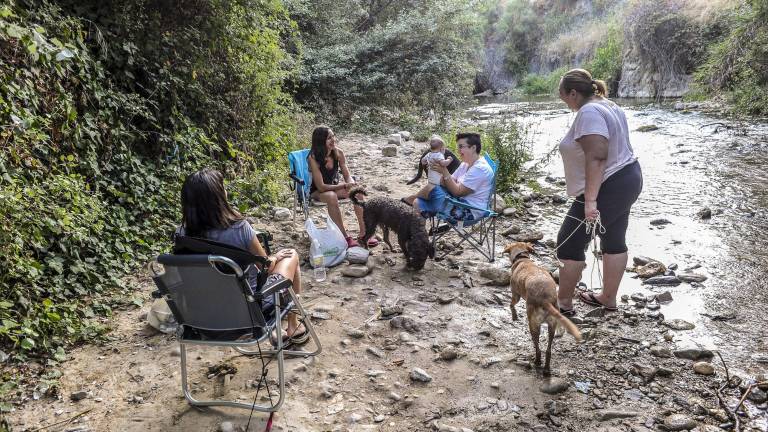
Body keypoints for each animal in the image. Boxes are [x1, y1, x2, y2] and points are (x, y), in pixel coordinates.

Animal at [504, 241, 584, 372]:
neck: (522, 259)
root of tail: (545, 300)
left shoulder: (515, 295)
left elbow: (511, 305)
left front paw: (514, 316)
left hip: (533, 324)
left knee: (538, 347)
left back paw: (537, 361)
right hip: (552, 325)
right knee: (548, 350)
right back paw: (546, 368)